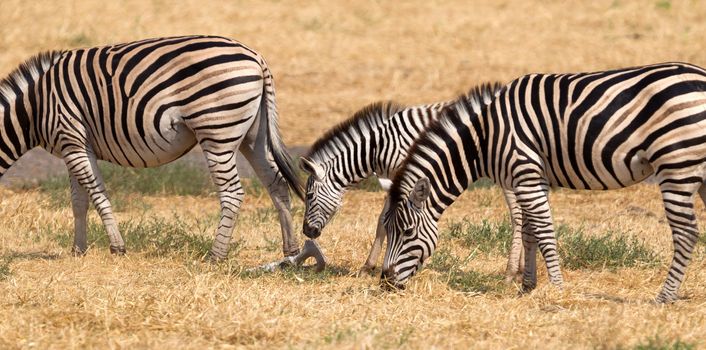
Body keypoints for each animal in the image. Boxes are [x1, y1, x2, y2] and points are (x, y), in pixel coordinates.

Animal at [0, 36, 304, 260]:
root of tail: (256, 58)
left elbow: (97, 194)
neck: (35, 107)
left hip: (217, 129)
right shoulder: (72, 147)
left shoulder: (72, 138)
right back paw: (290, 250)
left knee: (232, 193)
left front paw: (117, 247)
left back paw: (215, 255)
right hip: (254, 136)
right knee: (277, 183)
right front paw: (78, 250)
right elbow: (79, 201)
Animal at [296, 89, 524, 278]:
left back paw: (511, 271)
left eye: (309, 196)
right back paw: (520, 269)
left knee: (517, 215)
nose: (307, 232)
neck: (378, 147)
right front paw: (370, 266)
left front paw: (375, 265)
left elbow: (388, 221)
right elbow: (383, 221)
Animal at [382, 63, 704, 304]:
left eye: (408, 232)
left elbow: (544, 233)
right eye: (388, 230)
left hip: (676, 164)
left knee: (686, 232)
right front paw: (527, 286)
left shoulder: (526, 175)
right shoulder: (528, 179)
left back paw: (664, 297)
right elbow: (529, 233)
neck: (484, 137)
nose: (385, 282)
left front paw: (558, 288)